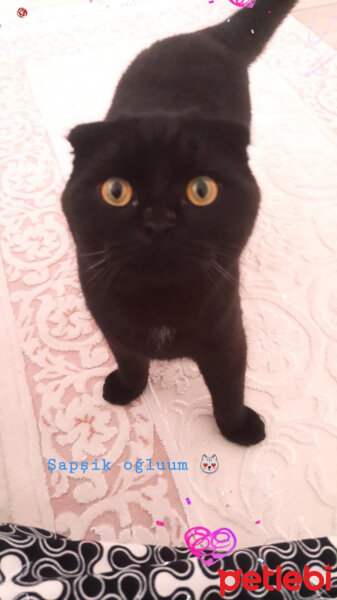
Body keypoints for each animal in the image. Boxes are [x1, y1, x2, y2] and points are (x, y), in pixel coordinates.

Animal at [61, 0, 296, 446]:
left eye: (201, 190)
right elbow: (132, 362)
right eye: (115, 190)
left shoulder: (228, 333)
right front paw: (126, 390)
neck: (160, 305)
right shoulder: (112, 327)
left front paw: (238, 429)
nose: (158, 221)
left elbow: (228, 387)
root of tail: (207, 35)